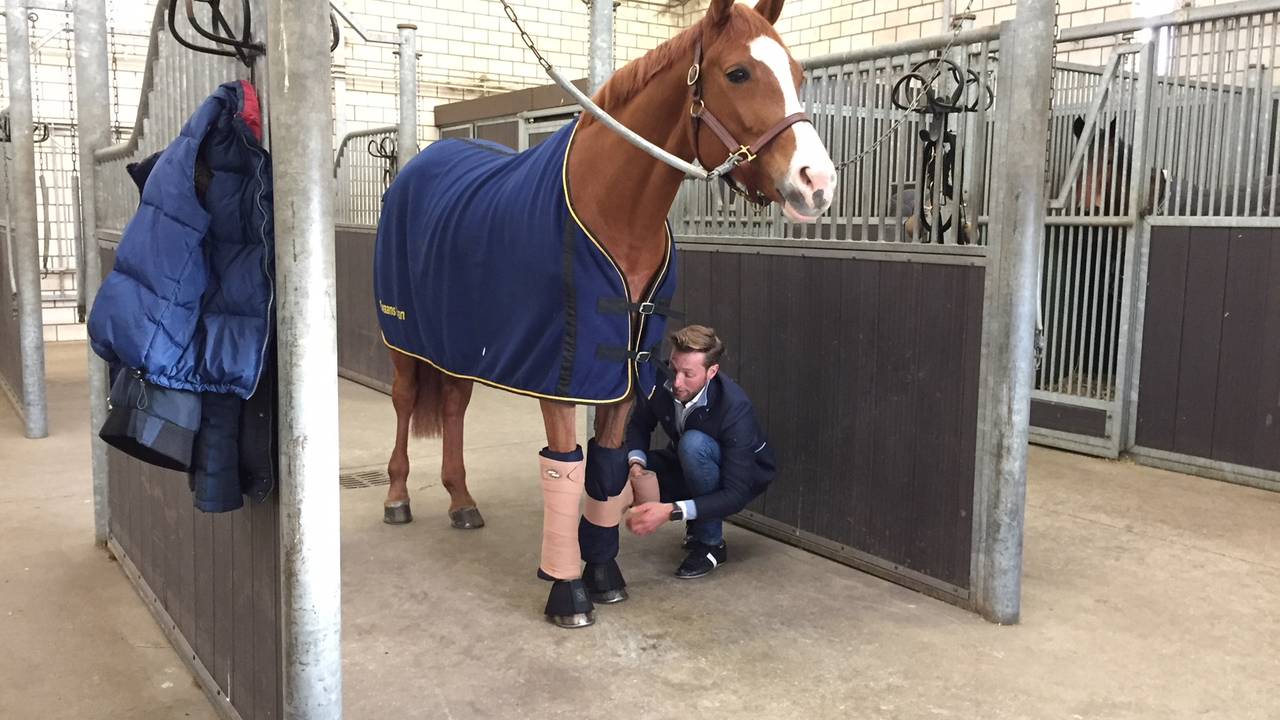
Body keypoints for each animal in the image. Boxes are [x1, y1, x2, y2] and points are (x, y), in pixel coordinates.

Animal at [373, 0, 835, 629]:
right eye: (738, 73)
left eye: (798, 73)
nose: (819, 183)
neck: (611, 213)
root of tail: (420, 166)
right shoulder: (561, 377)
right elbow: (564, 469)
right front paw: (567, 593)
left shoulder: (626, 373)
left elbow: (608, 467)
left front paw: (604, 574)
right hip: (404, 340)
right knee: (403, 404)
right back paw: (397, 497)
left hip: (460, 343)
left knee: (453, 406)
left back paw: (462, 502)